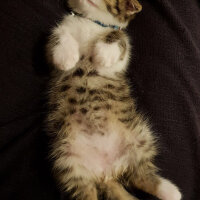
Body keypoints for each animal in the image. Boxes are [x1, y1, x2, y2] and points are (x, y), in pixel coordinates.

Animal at [46, 0, 182, 200]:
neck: (92, 23)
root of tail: (107, 173)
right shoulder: (57, 40)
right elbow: (58, 35)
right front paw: (66, 57)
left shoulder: (120, 61)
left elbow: (119, 36)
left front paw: (103, 53)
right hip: (67, 162)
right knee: (88, 191)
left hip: (141, 138)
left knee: (141, 174)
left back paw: (170, 191)